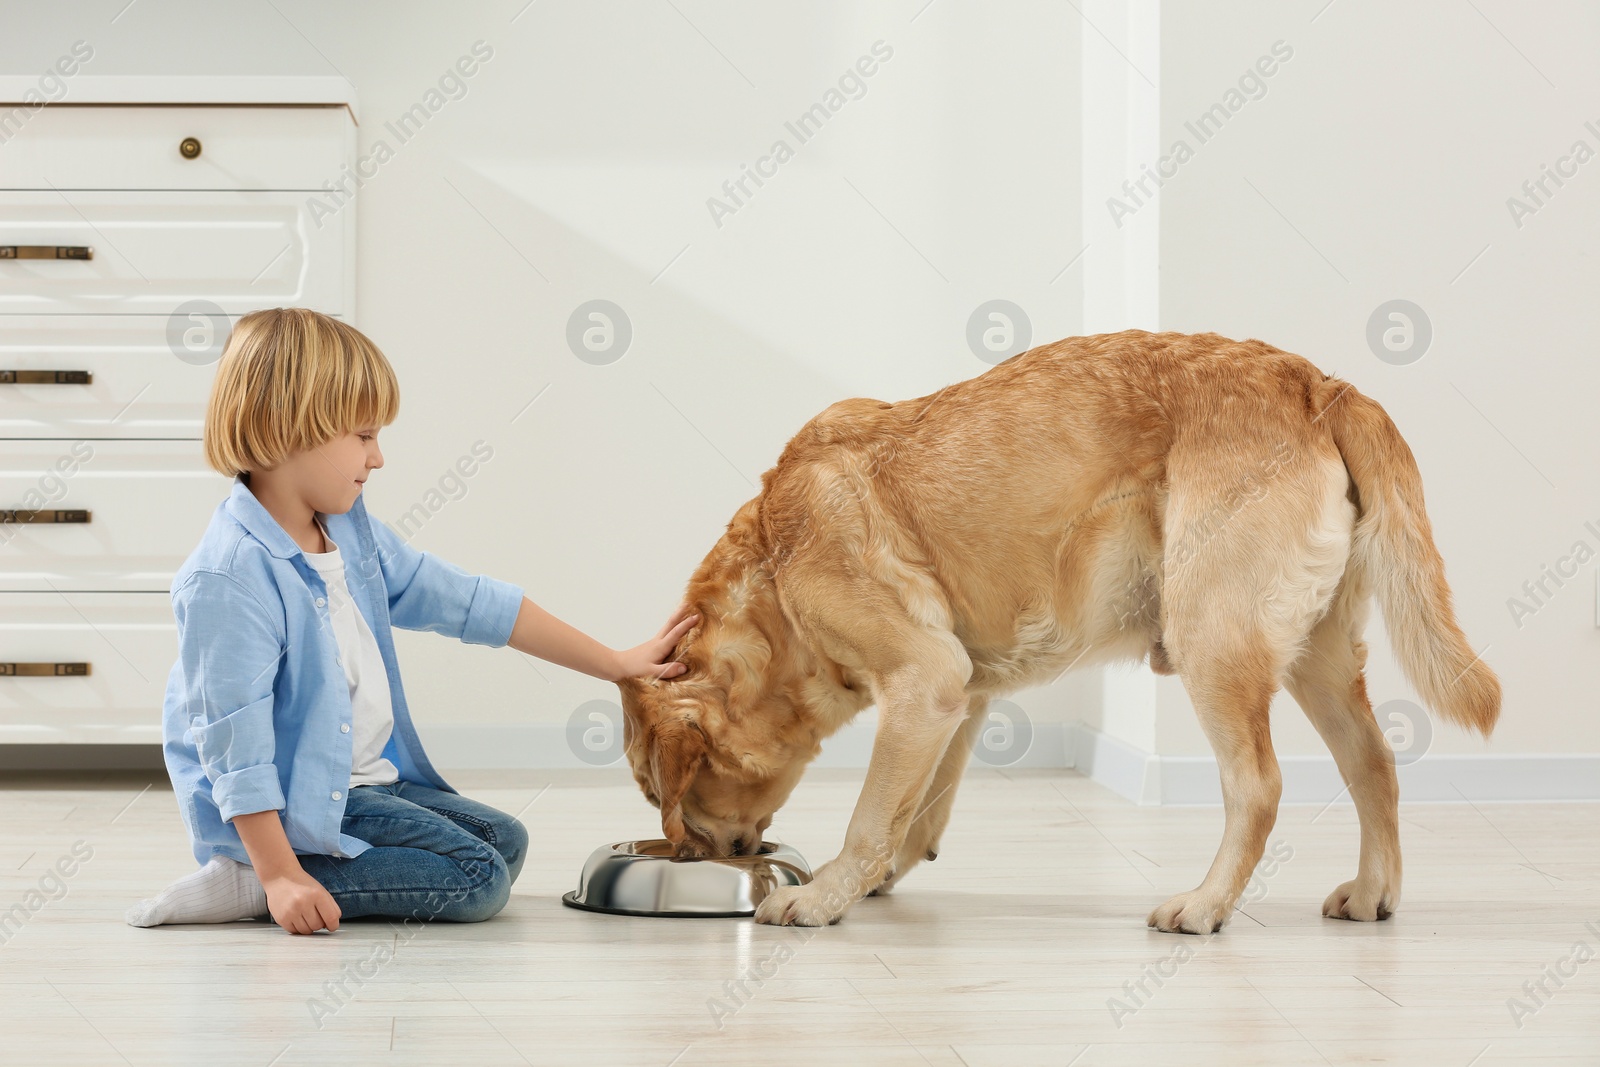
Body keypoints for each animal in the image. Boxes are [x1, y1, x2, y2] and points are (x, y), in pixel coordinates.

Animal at [614, 329, 1497, 927]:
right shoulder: (958, 692)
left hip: (1213, 637)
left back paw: (1206, 903)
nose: (682, 855)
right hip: (1316, 652)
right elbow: (917, 803)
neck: (775, 560)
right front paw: (880, 871)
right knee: (1374, 762)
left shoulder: (926, 677)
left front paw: (825, 892)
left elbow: (870, 813)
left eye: (660, 792)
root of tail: (1320, 383)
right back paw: (1375, 889)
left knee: (1260, 785)